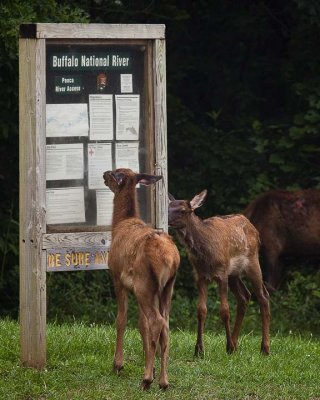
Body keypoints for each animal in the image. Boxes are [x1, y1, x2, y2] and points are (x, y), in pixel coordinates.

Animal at [103, 167, 180, 390]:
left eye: (115, 172)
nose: (103, 174)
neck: (119, 224)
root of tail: (169, 258)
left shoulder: (118, 278)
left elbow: (121, 319)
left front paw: (118, 364)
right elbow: (141, 324)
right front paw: (150, 367)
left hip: (144, 284)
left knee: (157, 321)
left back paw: (146, 380)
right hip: (166, 287)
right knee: (165, 325)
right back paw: (163, 381)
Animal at [168, 191, 270, 356]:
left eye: (183, 210)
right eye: (168, 206)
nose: (167, 219)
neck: (205, 254)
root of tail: (255, 229)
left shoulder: (221, 273)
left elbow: (224, 311)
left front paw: (227, 346)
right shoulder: (200, 275)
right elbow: (201, 310)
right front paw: (199, 350)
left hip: (253, 261)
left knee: (263, 296)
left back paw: (264, 348)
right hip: (234, 273)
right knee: (245, 296)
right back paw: (235, 344)